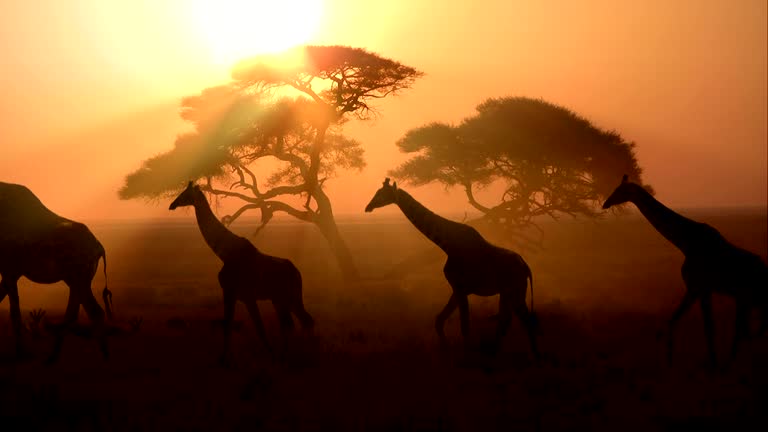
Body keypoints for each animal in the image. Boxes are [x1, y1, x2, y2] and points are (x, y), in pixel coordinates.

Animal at [0, 181, 113, 362]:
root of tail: (99, 247)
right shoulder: (11, 271)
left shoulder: (9, 269)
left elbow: (14, 312)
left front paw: (21, 354)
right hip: (76, 279)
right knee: (81, 311)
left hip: (78, 277)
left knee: (87, 311)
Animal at [170, 180, 314, 364]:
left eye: (185, 194)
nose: (172, 205)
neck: (225, 253)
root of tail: (297, 272)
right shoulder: (235, 295)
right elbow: (230, 324)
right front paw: (225, 358)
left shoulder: (241, 294)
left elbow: (256, 328)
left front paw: (268, 356)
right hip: (281, 298)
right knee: (295, 322)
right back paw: (291, 355)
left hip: (288, 296)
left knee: (301, 322)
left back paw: (300, 355)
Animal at [364, 177, 536, 360]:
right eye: (377, 192)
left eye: (382, 193)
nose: (368, 207)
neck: (447, 244)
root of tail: (526, 267)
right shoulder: (457, 289)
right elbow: (439, 320)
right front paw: (447, 349)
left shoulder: (461, 288)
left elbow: (464, 327)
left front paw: (465, 356)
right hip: (508, 292)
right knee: (508, 320)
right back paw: (497, 353)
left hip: (516, 291)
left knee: (523, 320)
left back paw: (530, 356)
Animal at [604, 174, 764, 366]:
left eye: (620, 190)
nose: (605, 203)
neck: (685, 242)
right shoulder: (694, 289)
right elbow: (675, 320)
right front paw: (669, 358)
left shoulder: (701, 288)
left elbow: (708, 327)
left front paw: (713, 363)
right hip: (746, 300)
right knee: (748, 330)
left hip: (749, 298)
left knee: (747, 330)